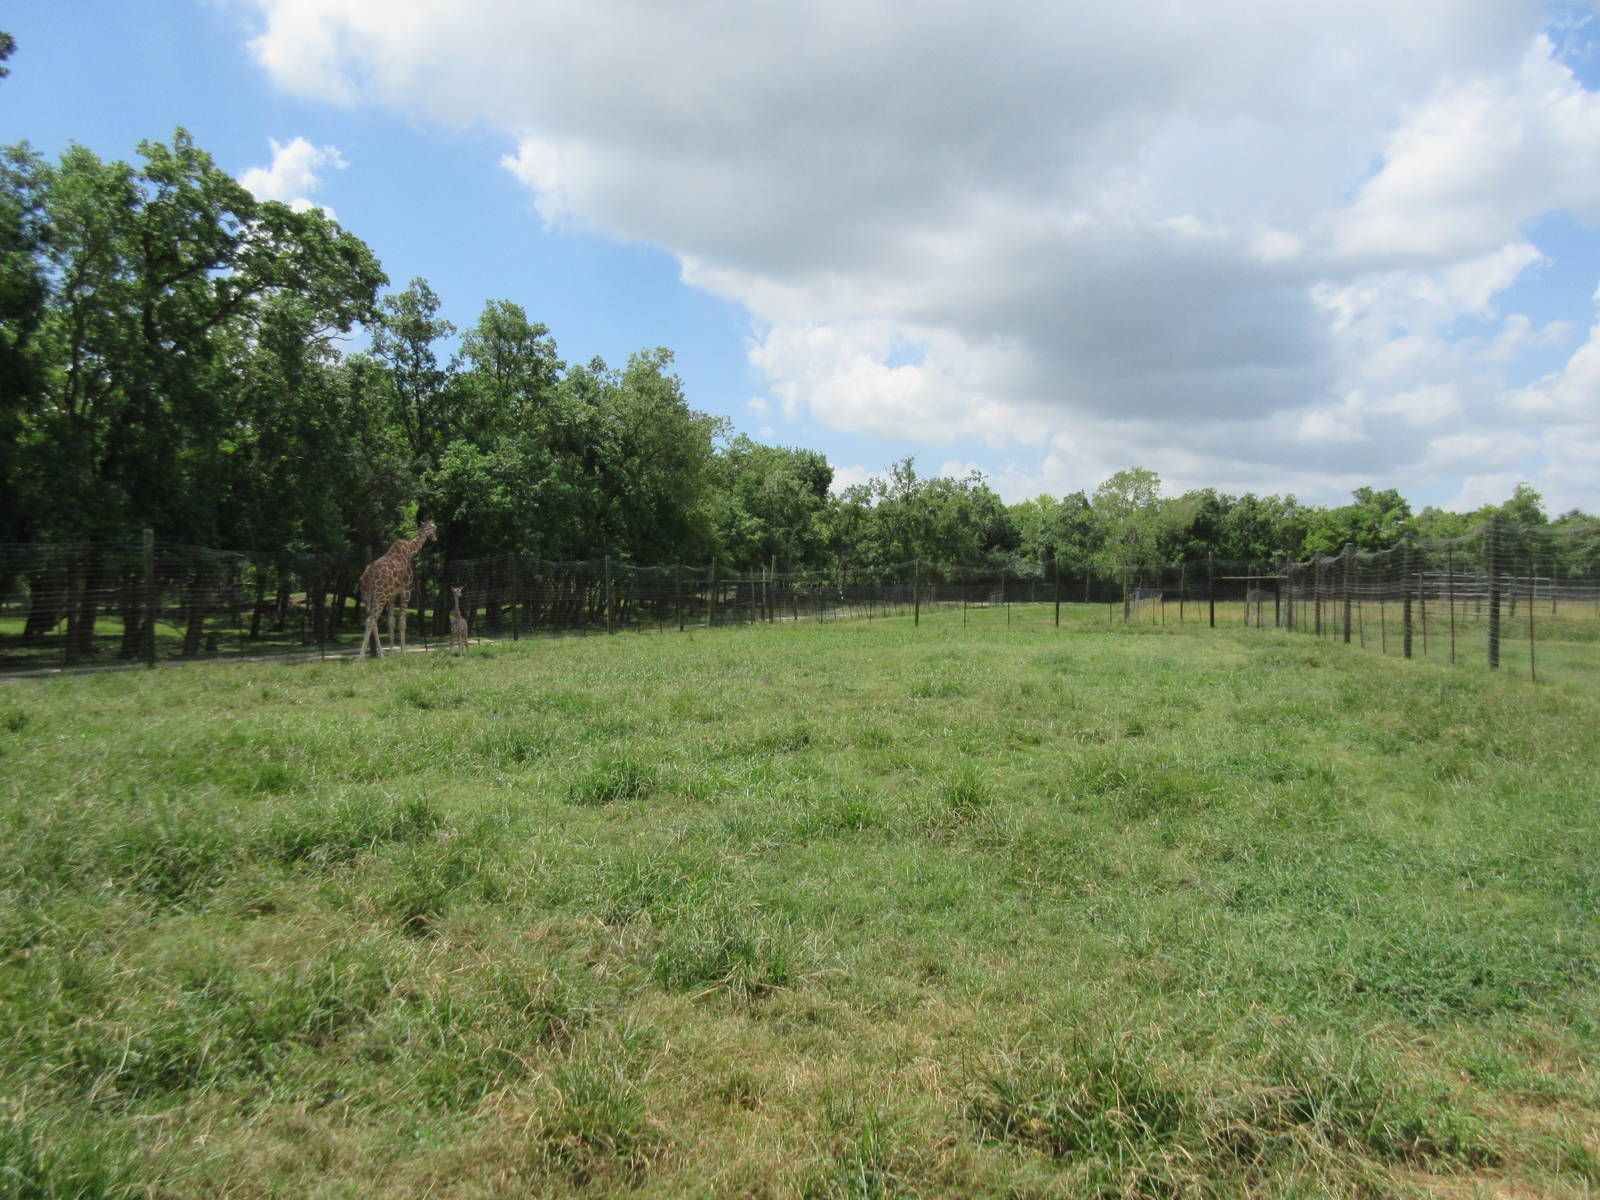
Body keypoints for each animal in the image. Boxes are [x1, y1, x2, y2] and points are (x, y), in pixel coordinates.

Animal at [358, 520, 436, 658]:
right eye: (435, 528)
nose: (435, 538)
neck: (410, 551)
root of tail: (366, 578)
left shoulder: (393, 595)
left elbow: (391, 622)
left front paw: (392, 654)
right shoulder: (406, 590)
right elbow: (402, 622)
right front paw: (403, 653)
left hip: (368, 598)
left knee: (374, 622)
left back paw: (381, 655)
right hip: (381, 596)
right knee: (370, 620)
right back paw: (361, 657)